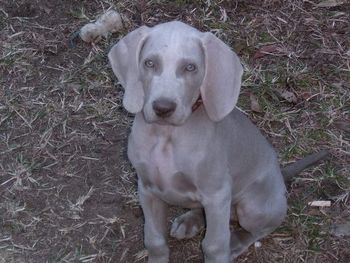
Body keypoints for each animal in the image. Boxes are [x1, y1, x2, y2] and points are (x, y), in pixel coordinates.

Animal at [108, 21, 328, 263]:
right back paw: (189, 221)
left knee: (259, 228)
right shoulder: (147, 189)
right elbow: (154, 239)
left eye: (190, 67)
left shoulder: (217, 193)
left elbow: (213, 244)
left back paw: (236, 241)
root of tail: (281, 176)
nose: (163, 108)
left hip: (252, 207)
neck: (167, 135)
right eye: (149, 63)